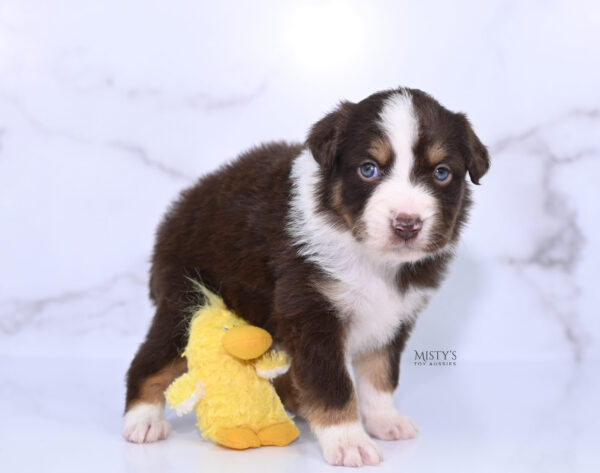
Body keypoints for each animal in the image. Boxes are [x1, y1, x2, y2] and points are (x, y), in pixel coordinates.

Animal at [120, 86, 488, 466]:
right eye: (368, 169)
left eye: (441, 173)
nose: (407, 224)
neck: (372, 259)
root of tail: (177, 211)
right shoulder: (311, 313)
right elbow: (333, 384)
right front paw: (348, 441)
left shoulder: (392, 318)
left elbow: (380, 376)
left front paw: (385, 421)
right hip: (186, 302)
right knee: (148, 362)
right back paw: (142, 421)